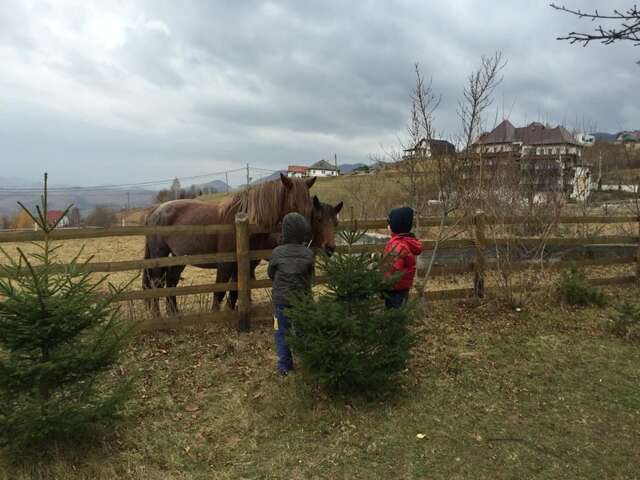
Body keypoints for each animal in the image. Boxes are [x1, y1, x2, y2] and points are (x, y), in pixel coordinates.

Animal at [142, 174, 318, 314]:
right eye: (294, 204)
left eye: (310, 206)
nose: (307, 239)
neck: (246, 221)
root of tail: (155, 210)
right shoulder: (225, 263)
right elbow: (219, 290)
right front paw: (216, 314)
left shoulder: (245, 264)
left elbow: (235, 291)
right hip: (159, 256)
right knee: (156, 283)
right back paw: (157, 315)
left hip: (179, 257)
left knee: (171, 282)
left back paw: (174, 313)